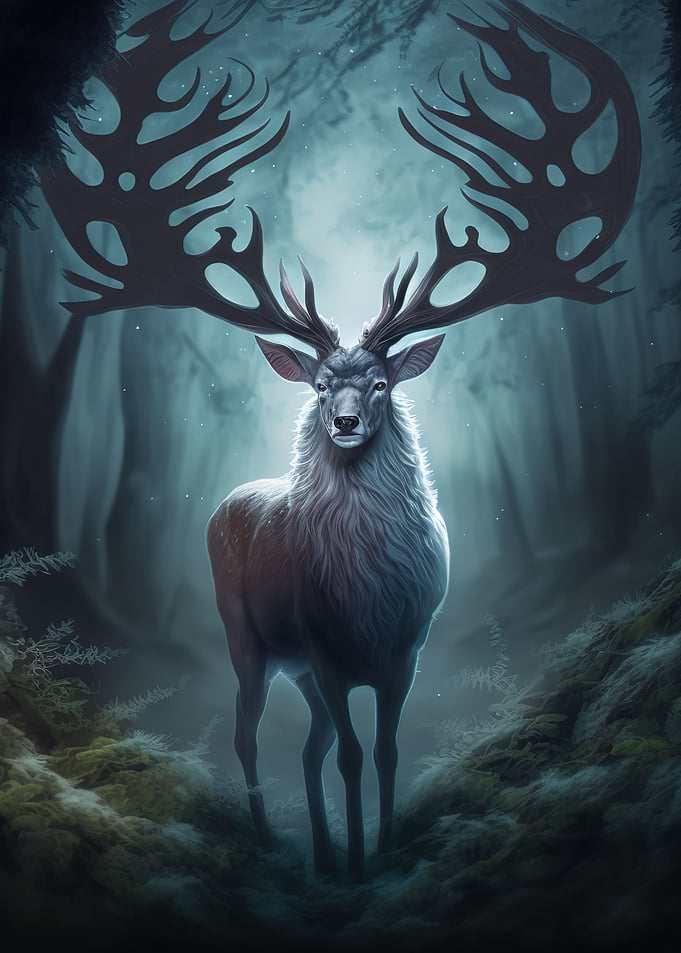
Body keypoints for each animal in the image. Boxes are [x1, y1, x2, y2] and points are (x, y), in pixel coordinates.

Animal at [40, 0, 640, 880]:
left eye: (383, 383)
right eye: (322, 384)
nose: (347, 421)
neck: (366, 597)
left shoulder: (405, 649)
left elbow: (382, 752)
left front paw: (376, 850)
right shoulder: (323, 647)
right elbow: (353, 756)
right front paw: (357, 865)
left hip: (296, 668)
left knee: (309, 747)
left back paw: (321, 850)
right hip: (249, 637)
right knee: (250, 734)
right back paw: (269, 841)